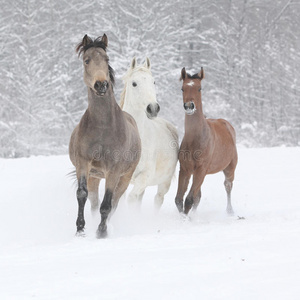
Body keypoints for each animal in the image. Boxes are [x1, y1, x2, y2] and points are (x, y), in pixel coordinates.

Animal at [69, 34, 141, 237]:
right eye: (87, 60)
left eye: (107, 59)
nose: (101, 84)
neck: (103, 127)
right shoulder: (83, 164)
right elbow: (82, 195)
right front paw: (80, 229)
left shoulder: (114, 171)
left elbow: (107, 204)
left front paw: (102, 232)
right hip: (94, 176)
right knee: (94, 202)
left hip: (124, 178)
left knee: (115, 202)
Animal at [119, 58, 178, 209]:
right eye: (134, 83)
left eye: (154, 82)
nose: (153, 108)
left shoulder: (144, 176)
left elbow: (131, 199)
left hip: (164, 183)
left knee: (158, 199)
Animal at [175, 67, 238, 214]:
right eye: (182, 88)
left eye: (199, 88)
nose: (189, 106)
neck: (195, 139)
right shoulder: (185, 169)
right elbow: (179, 199)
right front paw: (184, 217)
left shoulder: (201, 170)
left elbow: (189, 200)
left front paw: (186, 218)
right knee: (198, 196)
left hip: (230, 169)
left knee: (228, 186)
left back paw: (230, 211)